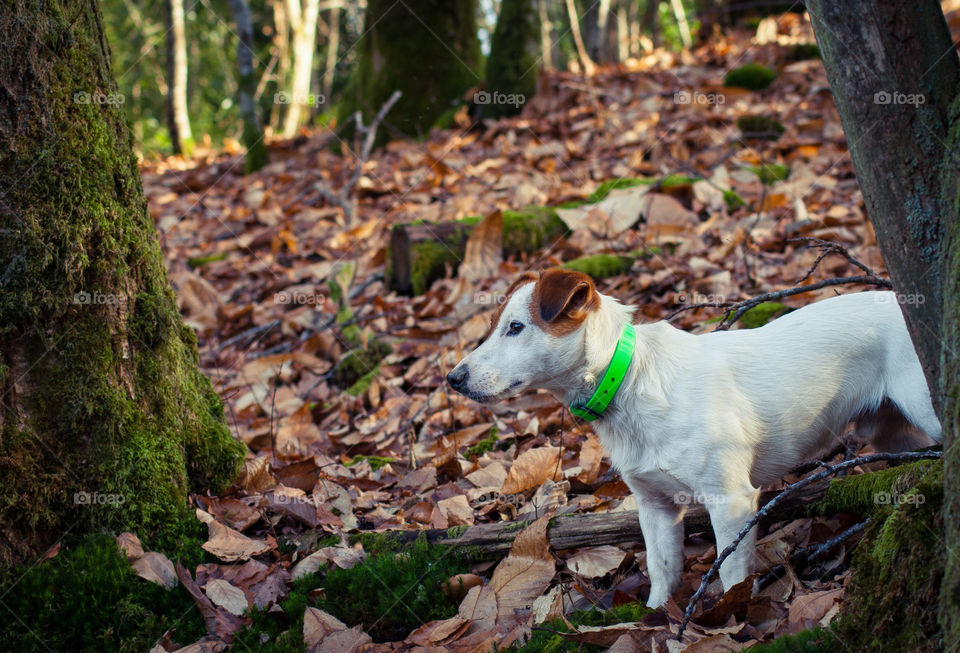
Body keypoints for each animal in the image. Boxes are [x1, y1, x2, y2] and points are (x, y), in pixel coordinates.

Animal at [446, 268, 940, 608]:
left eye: (516, 328)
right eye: (494, 327)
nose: (453, 378)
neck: (627, 380)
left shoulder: (731, 499)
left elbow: (732, 570)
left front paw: (733, 616)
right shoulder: (655, 506)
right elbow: (663, 570)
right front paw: (654, 617)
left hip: (924, 406)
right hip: (889, 429)